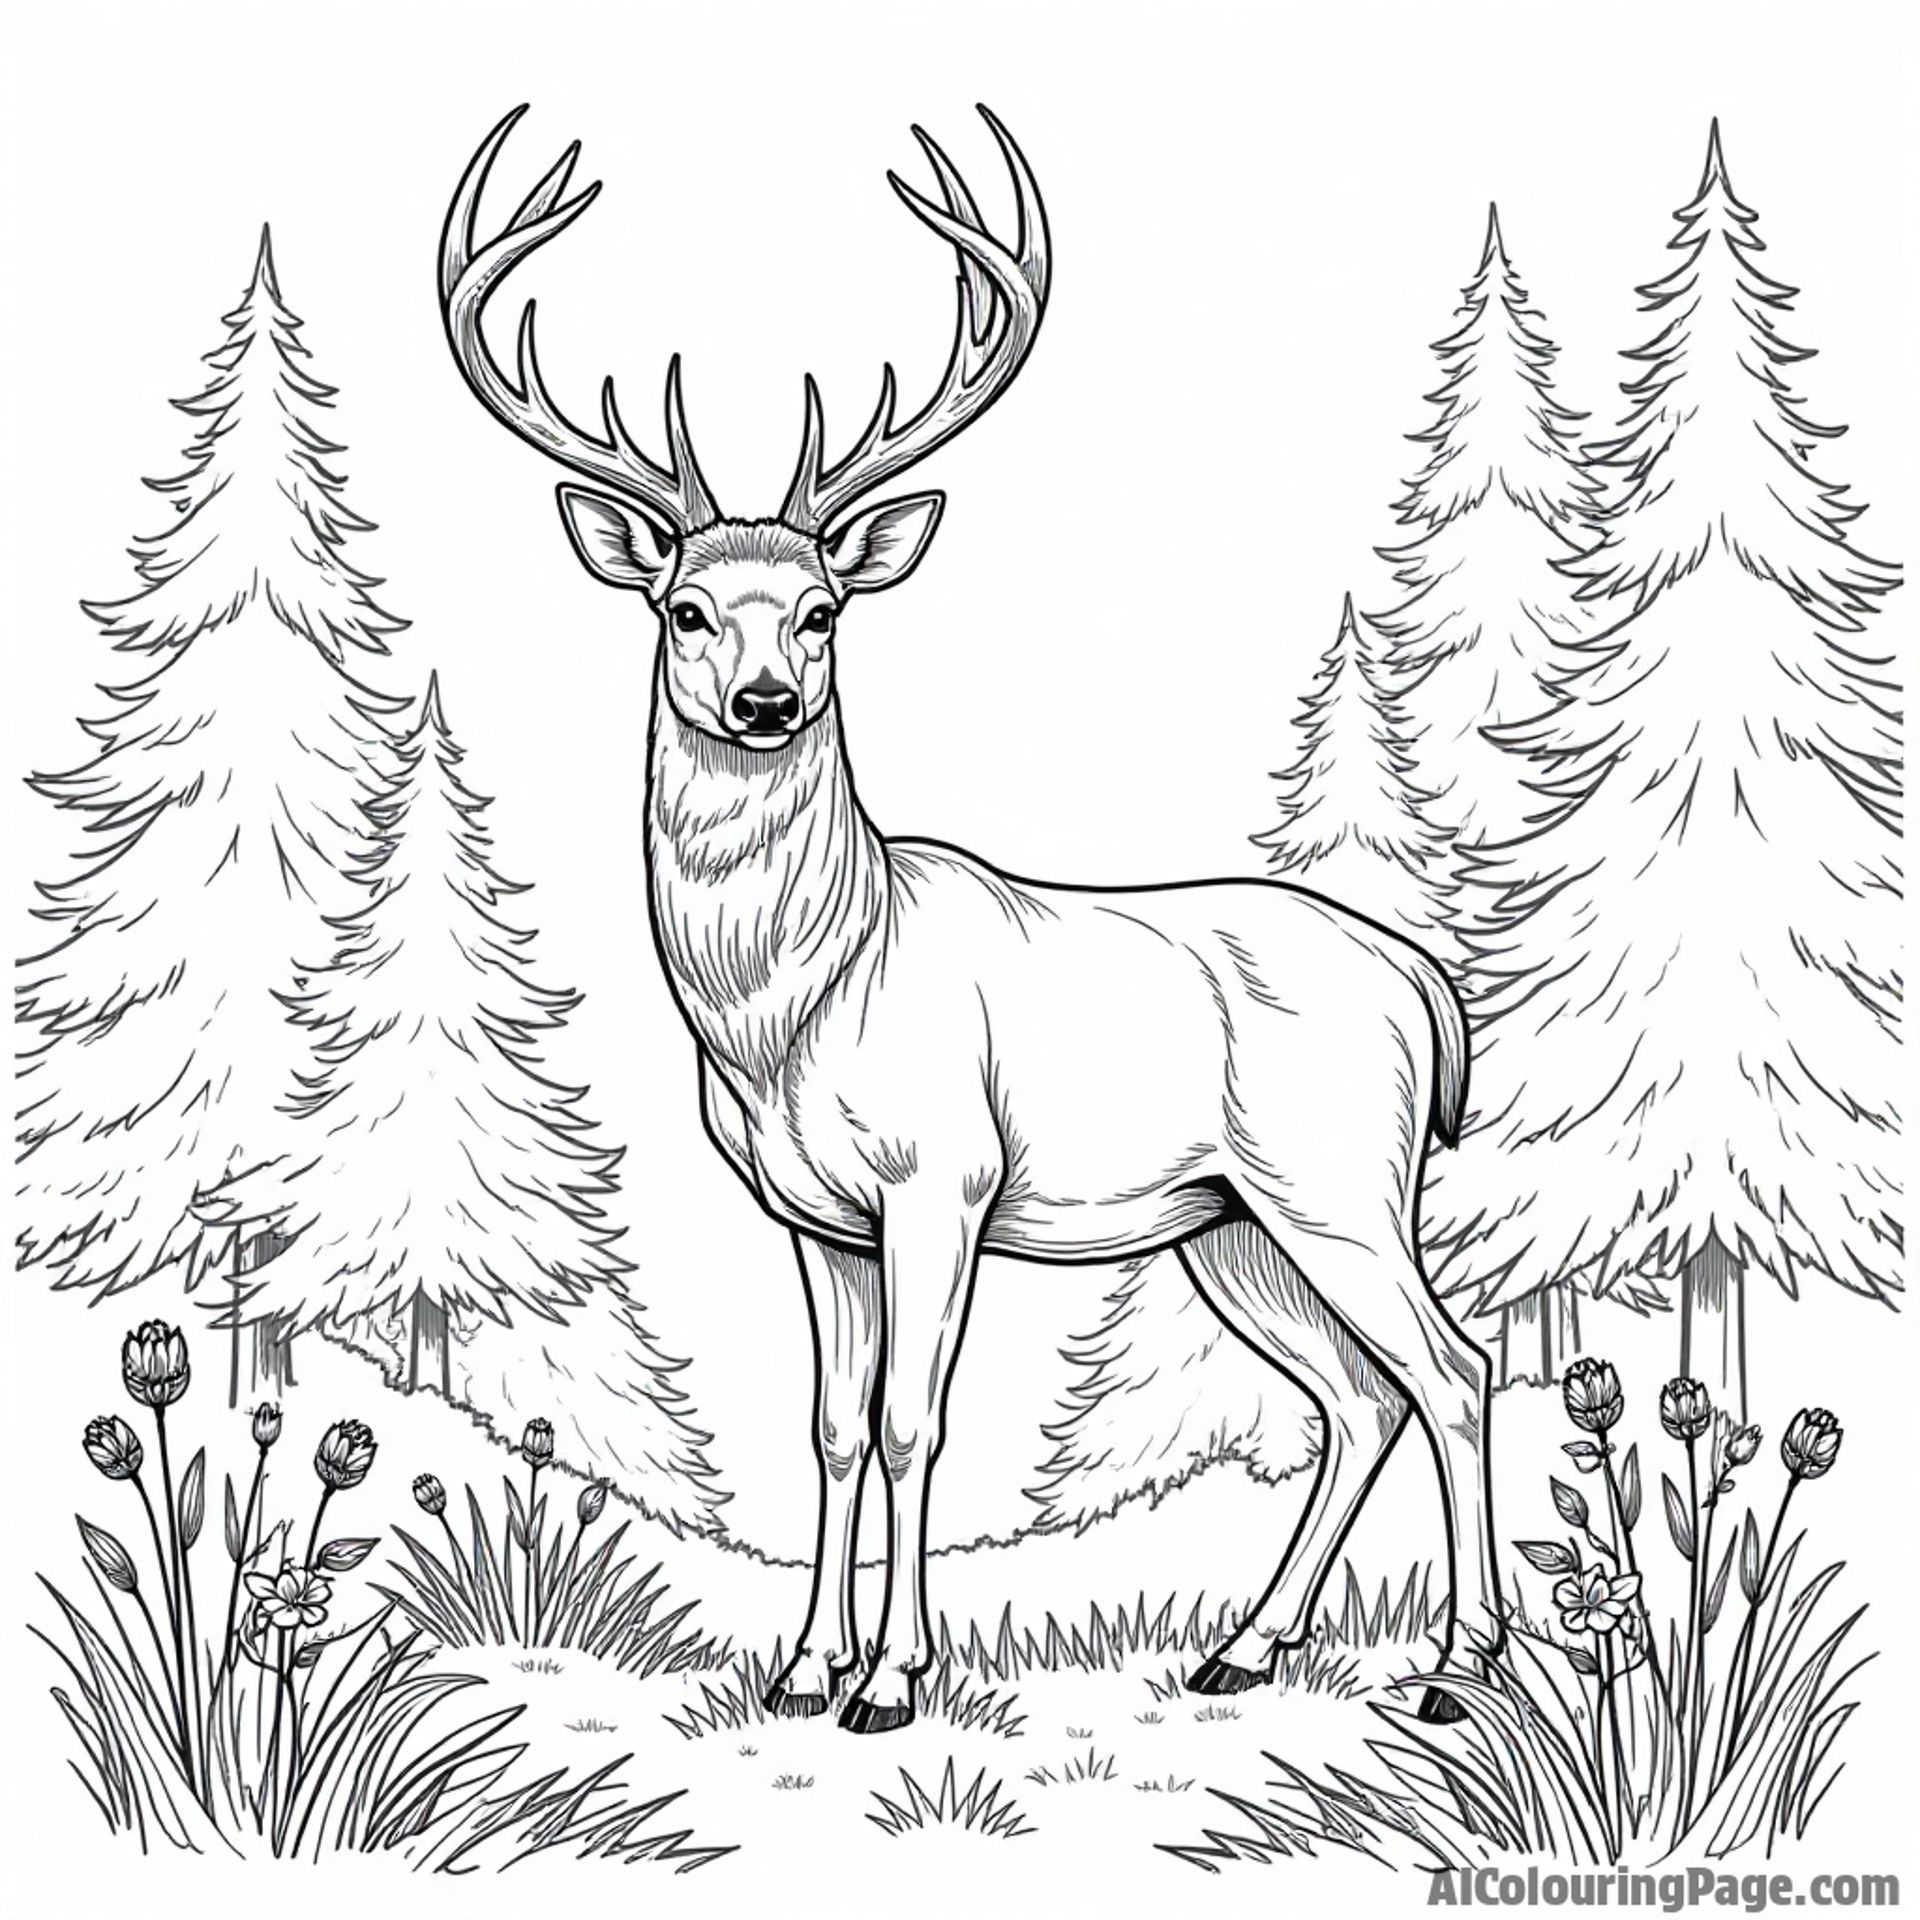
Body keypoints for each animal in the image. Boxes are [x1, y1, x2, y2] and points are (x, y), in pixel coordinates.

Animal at [439, 104, 1506, 1733]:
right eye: (686, 608)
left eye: (823, 610)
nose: (766, 699)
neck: (795, 1007)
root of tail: (1424, 986)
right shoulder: (813, 1216)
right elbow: (828, 1423)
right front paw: (798, 1670)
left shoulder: (943, 1175)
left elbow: (913, 1421)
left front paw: (892, 1679)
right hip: (1229, 1223)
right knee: (1356, 1392)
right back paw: (1242, 1649)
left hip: (1337, 1173)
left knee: (1453, 1366)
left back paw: (1458, 1671)